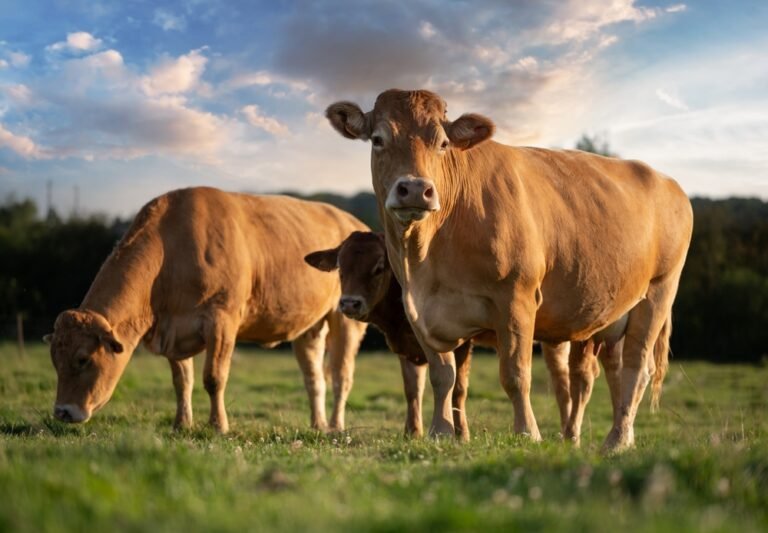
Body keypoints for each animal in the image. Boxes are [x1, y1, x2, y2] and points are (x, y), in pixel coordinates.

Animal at [45, 187, 368, 434]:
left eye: (83, 359)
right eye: (55, 361)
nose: (62, 412)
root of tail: (354, 223)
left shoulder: (221, 319)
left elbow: (214, 378)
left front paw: (218, 426)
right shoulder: (173, 328)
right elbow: (182, 382)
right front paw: (181, 424)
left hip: (346, 318)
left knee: (341, 376)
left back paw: (336, 426)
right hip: (310, 327)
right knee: (314, 377)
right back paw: (318, 424)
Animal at [305, 230, 577, 441]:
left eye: (379, 267)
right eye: (340, 267)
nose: (349, 303)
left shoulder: (462, 342)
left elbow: (458, 389)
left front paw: (461, 435)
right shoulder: (408, 346)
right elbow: (412, 389)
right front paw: (412, 433)